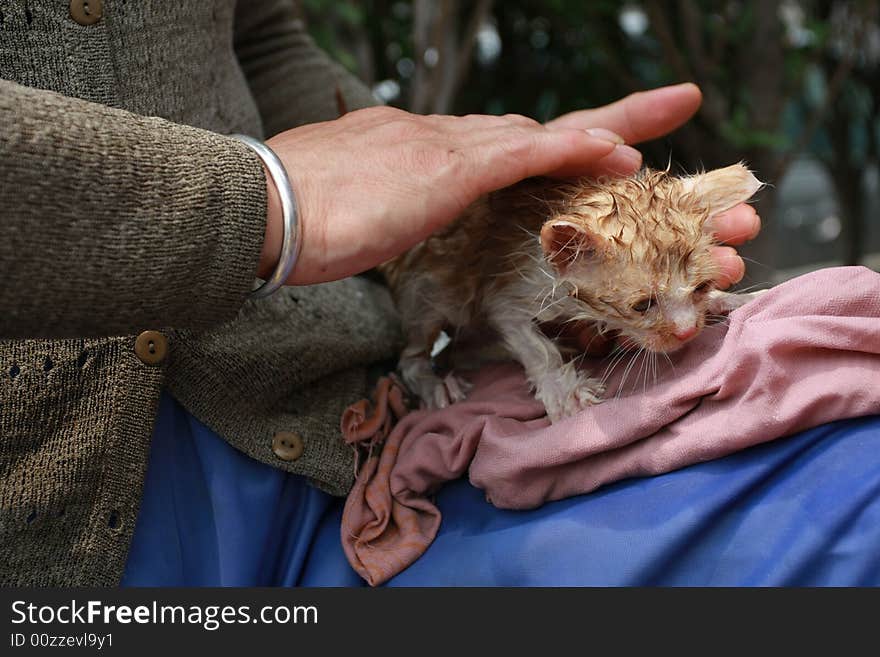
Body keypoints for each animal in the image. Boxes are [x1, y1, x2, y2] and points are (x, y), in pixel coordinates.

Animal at [384, 163, 764, 420]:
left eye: (701, 287)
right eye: (642, 305)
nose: (687, 332)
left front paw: (731, 299)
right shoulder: (510, 290)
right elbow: (533, 344)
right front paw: (563, 389)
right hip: (428, 284)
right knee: (413, 352)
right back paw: (436, 383)